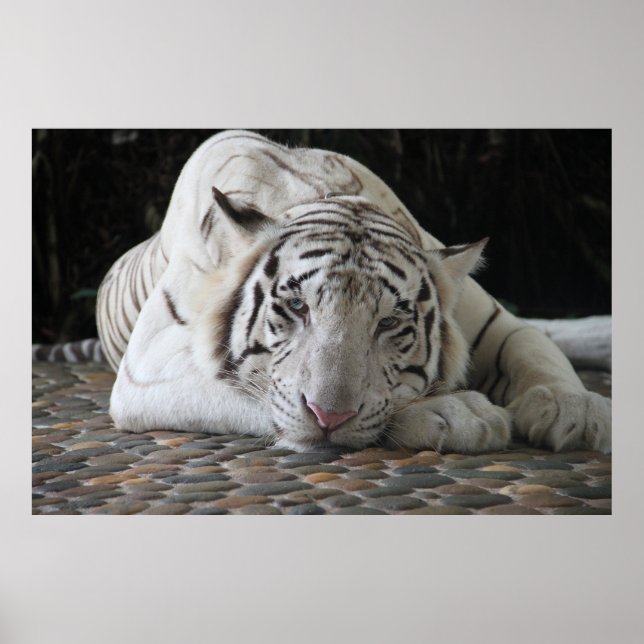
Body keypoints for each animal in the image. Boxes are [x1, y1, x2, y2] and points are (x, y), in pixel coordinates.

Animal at [97, 130, 611, 454]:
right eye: (297, 307)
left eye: (389, 322)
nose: (329, 417)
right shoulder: (147, 365)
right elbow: (254, 392)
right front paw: (457, 412)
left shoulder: (494, 321)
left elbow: (536, 352)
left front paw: (578, 411)